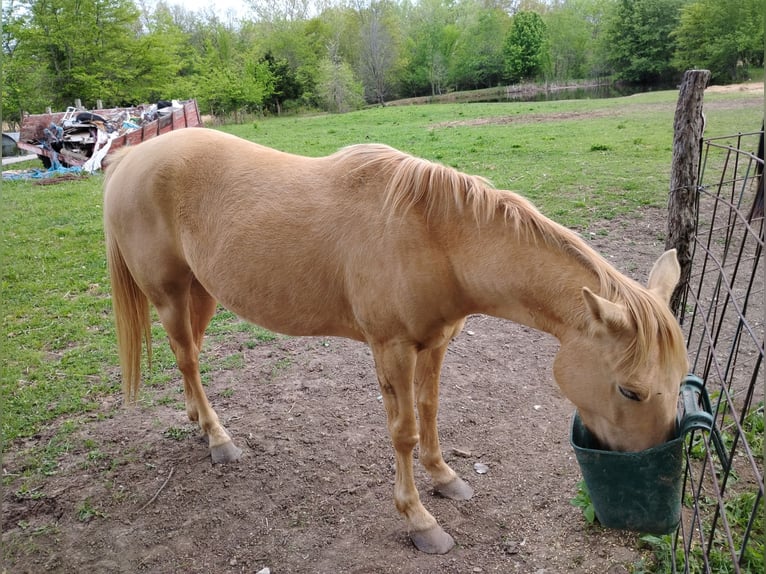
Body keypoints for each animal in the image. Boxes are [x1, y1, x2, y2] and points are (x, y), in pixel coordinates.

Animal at [103, 128, 689, 554]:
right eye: (631, 390)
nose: (654, 478)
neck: (435, 236)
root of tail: (128, 159)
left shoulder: (436, 343)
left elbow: (429, 412)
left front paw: (445, 478)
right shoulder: (392, 349)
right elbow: (403, 432)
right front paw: (420, 521)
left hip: (200, 294)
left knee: (191, 359)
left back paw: (200, 425)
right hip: (171, 295)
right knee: (186, 360)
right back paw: (219, 439)